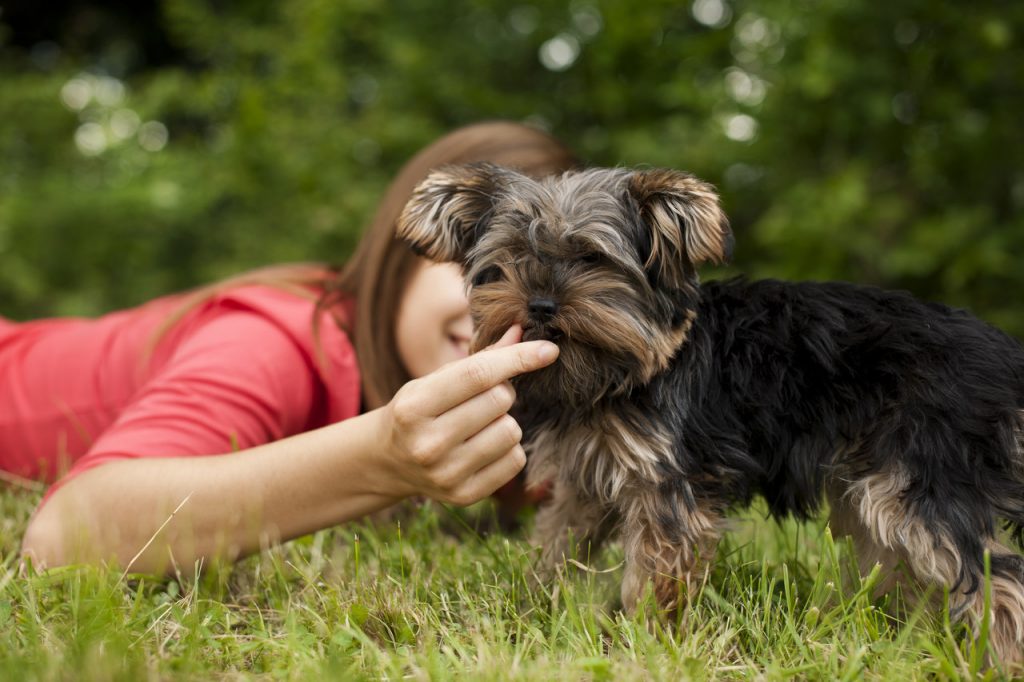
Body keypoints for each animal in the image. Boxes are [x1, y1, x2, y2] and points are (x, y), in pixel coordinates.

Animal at [395, 161, 1024, 659]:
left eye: (592, 259)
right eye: (511, 260)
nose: (541, 304)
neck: (618, 373)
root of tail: (1005, 356)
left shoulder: (669, 481)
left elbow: (656, 573)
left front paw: (647, 644)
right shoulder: (584, 478)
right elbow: (559, 544)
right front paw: (535, 610)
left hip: (924, 471)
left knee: (994, 578)